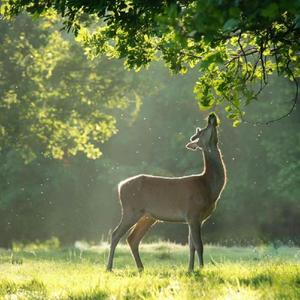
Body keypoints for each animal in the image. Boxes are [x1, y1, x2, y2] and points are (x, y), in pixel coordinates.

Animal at [106, 112, 226, 272]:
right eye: (202, 131)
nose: (211, 116)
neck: (208, 187)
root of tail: (120, 186)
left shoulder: (194, 218)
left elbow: (191, 246)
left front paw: (190, 269)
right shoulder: (193, 213)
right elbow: (199, 246)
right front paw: (201, 268)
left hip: (148, 216)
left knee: (132, 239)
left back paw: (141, 268)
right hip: (131, 210)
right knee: (115, 234)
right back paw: (109, 267)